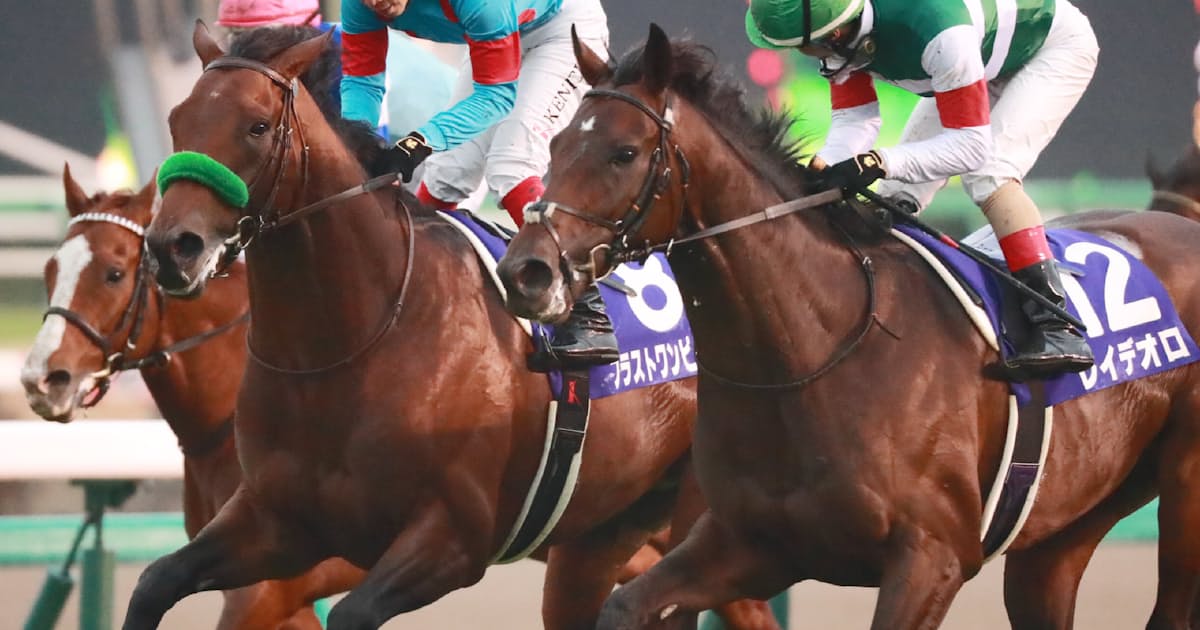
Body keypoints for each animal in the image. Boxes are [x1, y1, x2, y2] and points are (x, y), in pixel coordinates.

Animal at [120, 23, 778, 630]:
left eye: (256, 126)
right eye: (179, 120)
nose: (173, 248)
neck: (346, 344)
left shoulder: (452, 541)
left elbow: (353, 612)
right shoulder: (277, 524)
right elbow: (155, 580)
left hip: (710, 525)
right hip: (599, 536)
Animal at [496, 25, 1200, 629]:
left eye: (624, 153)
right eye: (555, 145)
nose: (526, 271)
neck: (811, 354)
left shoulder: (934, 558)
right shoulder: (747, 543)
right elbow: (626, 606)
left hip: (1182, 491)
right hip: (1062, 533)